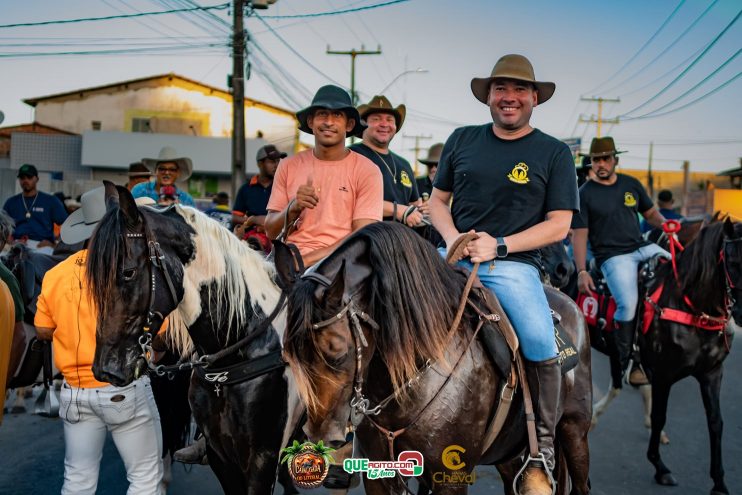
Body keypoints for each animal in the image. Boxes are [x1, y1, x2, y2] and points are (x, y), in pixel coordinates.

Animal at [280, 225, 592, 495]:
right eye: (289, 357)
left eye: (338, 352)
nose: (318, 435)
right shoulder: (380, 474)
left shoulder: (451, 476)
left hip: (574, 430)